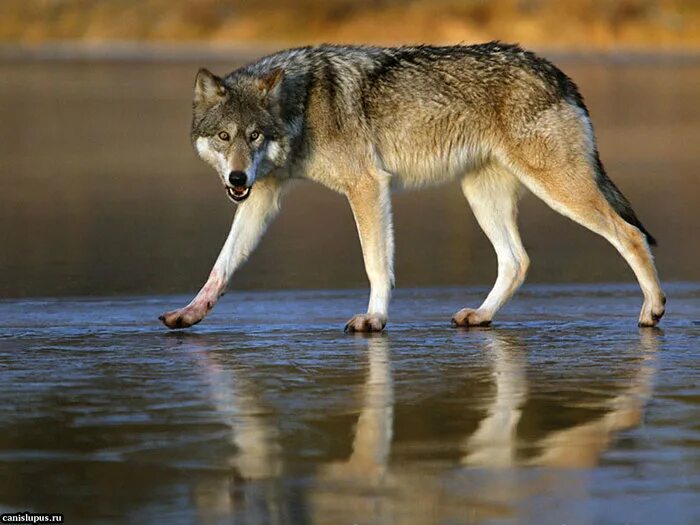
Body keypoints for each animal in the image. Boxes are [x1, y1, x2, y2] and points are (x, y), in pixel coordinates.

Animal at [160, 44, 668, 332]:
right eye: (223, 137)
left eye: (254, 136)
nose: (236, 179)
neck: (300, 105)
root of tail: (558, 74)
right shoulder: (263, 196)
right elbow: (222, 265)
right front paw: (189, 312)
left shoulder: (366, 186)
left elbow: (375, 264)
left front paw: (374, 318)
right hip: (481, 197)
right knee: (517, 261)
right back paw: (481, 316)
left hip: (559, 189)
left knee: (630, 235)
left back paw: (653, 310)